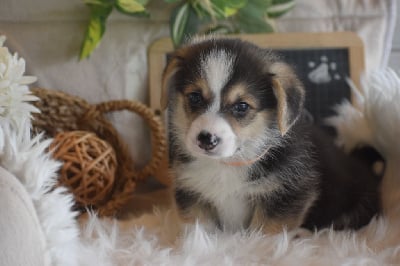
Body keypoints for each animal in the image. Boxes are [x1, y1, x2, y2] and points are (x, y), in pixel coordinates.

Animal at [160, 37, 382, 233]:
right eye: (194, 97)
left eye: (242, 106)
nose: (206, 139)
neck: (229, 164)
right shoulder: (191, 194)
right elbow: (199, 232)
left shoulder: (287, 196)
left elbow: (267, 234)